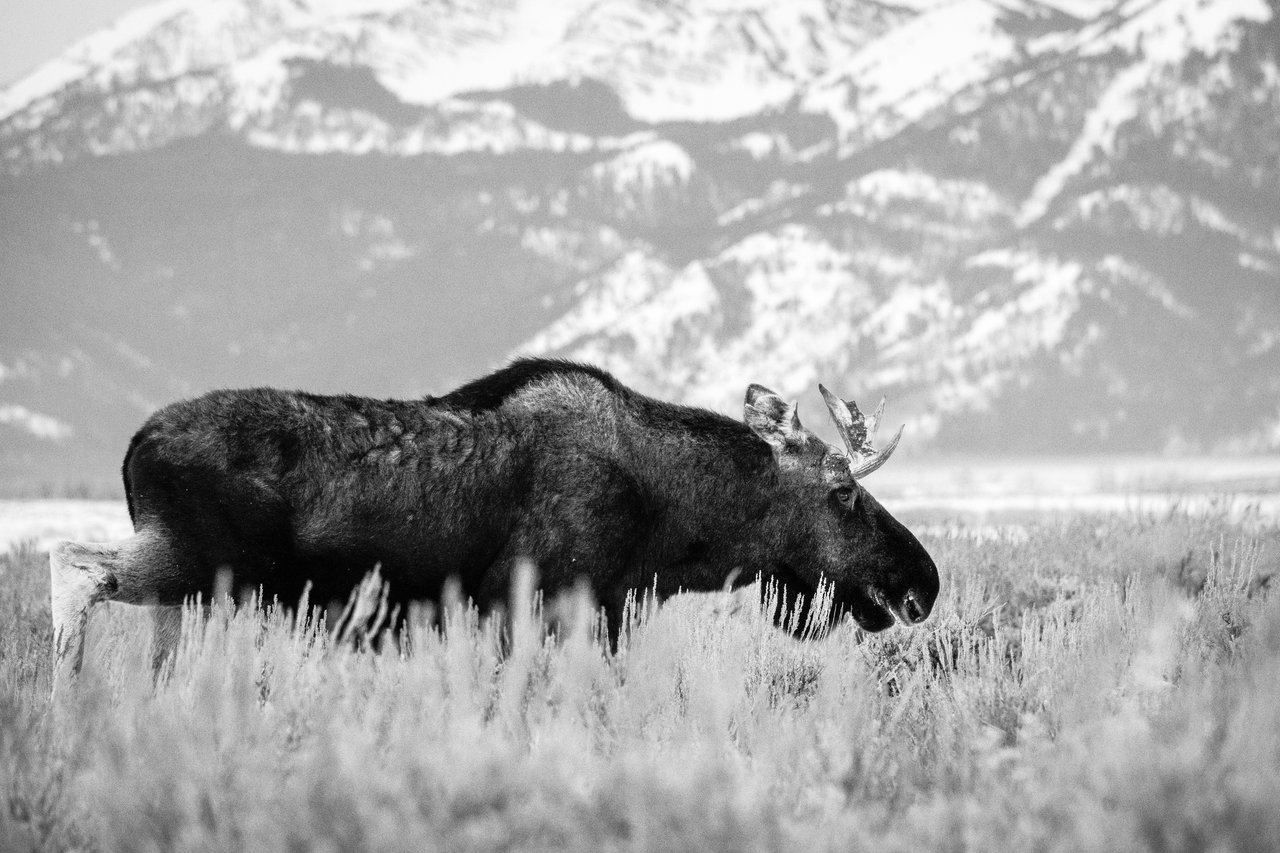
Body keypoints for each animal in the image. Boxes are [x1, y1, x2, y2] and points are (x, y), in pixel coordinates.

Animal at [49, 358, 939, 679]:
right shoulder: (538, 598)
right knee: (71, 566)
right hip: (195, 558)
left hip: (190, 578)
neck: (674, 519)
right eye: (845, 491)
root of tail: (133, 446)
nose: (922, 582)